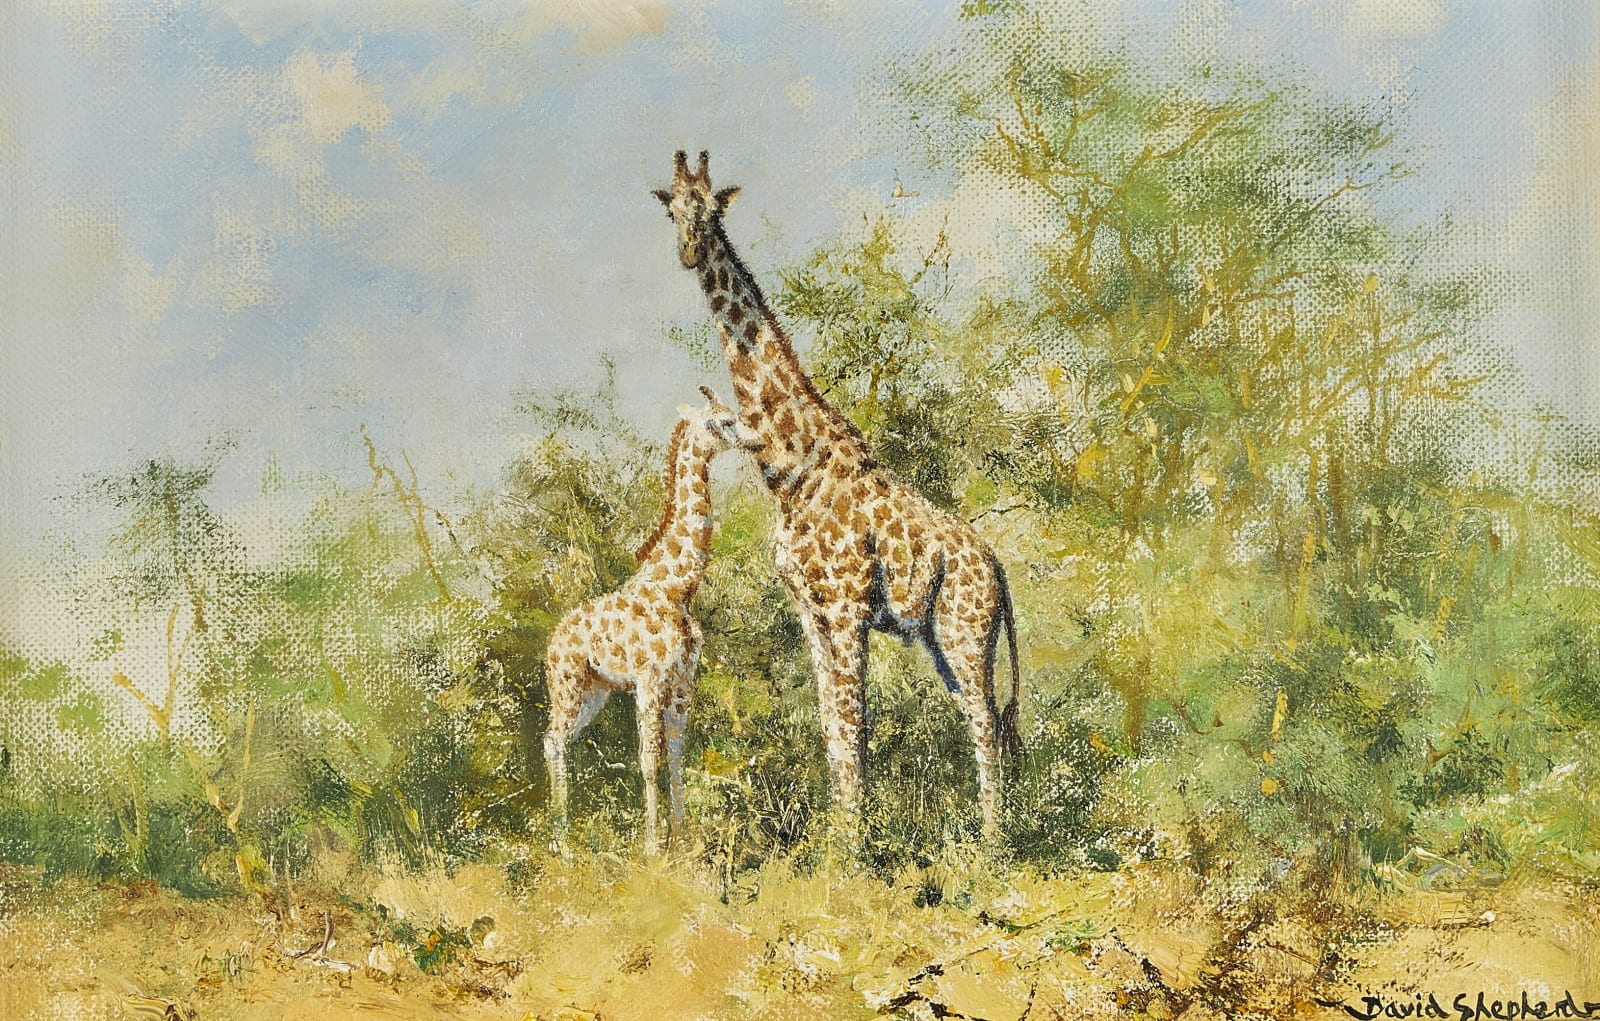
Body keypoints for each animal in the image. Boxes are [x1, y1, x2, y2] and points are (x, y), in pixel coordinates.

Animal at [543, 390, 761, 854]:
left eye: (732, 415)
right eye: (721, 422)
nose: (757, 440)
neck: (677, 588)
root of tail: (553, 643)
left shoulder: (681, 684)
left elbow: (676, 756)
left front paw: (681, 839)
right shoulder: (649, 681)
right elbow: (648, 760)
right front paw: (652, 847)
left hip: (595, 692)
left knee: (560, 742)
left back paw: (563, 835)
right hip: (567, 685)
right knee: (552, 740)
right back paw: (561, 841)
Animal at [653, 151, 1023, 838]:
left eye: (712, 209)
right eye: (673, 211)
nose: (690, 252)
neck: (790, 468)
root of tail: (999, 570)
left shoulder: (848, 606)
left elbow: (855, 723)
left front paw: (858, 841)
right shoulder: (810, 610)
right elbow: (831, 725)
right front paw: (839, 837)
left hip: (966, 632)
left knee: (988, 723)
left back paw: (993, 843)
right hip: (943, 639)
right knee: (980, 718)